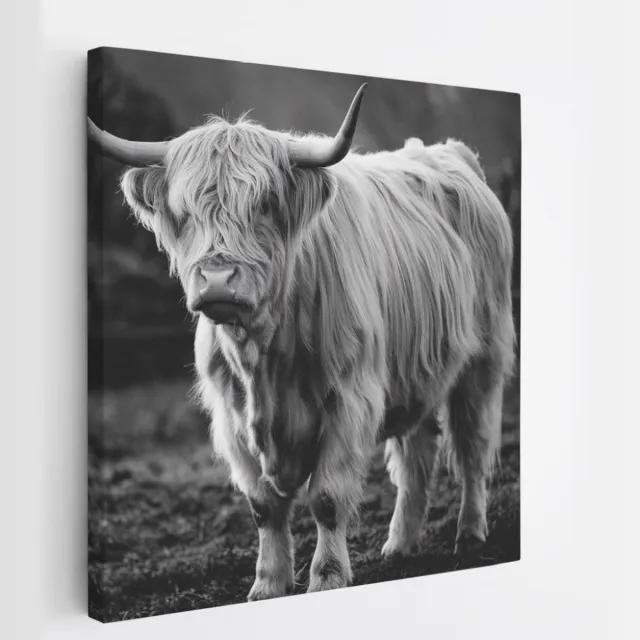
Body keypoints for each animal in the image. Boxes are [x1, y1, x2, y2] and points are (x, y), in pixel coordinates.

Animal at [88, 83, 515, 601]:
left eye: (264, 204)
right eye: (185, 212)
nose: (217, 281)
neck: (263, 361)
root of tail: (448, 153)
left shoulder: (349, 399)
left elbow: (327, 499)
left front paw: (326, 577)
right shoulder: (231, 416)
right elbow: (263, 507)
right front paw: (267, 584)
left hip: (483, 359)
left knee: (472, 446)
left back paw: (469, 534)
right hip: (416, 368)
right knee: (416, 455)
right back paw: (399, 546)